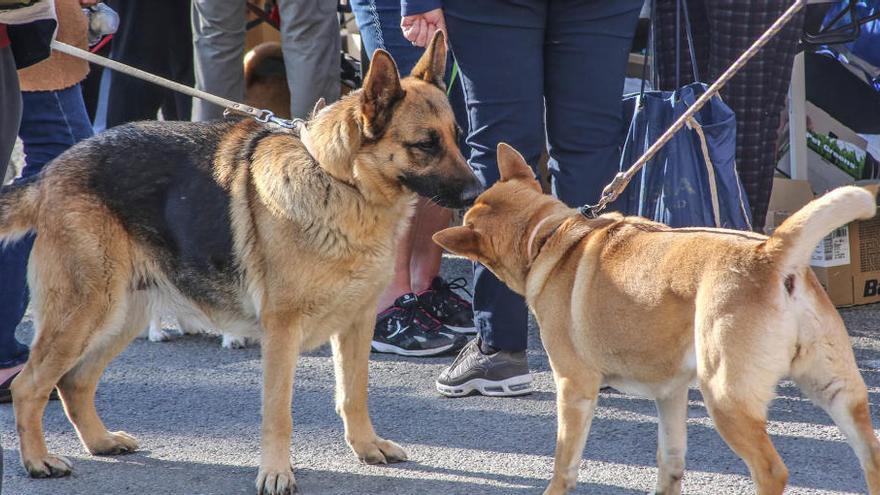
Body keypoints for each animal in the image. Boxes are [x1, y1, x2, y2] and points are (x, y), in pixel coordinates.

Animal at [0, 33, 482, 494]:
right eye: (425, 145)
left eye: (457, 136)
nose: (478, 195)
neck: (339, 180)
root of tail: (50, 173)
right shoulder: (282, 333)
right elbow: (279, 412)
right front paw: (275, 473)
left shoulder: (357, 324)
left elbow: (354, 394)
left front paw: (365, 447)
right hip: (85, 313)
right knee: (30, 385)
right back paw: (38, 460)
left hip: (121, 316)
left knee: (74, 382)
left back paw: (100, 442)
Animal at [434, 144, 880, 495]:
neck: (548, 235)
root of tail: (769, 253)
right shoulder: (670, 395)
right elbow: (671, 461)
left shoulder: (574, 388)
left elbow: (564, 462)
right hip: (835, 389)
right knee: (872, 456)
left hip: (725, 398)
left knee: (772, 472)